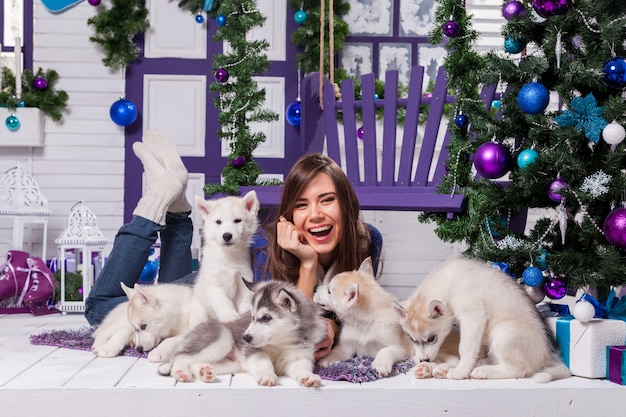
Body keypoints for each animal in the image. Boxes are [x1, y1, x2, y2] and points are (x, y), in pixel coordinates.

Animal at [157, 280, 326, 386]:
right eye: (252, 317)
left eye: (266, 318)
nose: (245, 337)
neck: (281, 342)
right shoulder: (253, 351)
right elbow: (264, 362)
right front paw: (267, 375)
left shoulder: (299, 356)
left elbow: (301, 367)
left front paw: (308, 376)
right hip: (223, 338)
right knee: (181, 356)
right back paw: (181, 372)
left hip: (232, 365)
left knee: (194, 362)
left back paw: (203, 372)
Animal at [190, 189, 258, 324]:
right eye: (218, 222)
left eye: (237, 220)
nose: (227, 236)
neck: (228, 256)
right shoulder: (215, 283)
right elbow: (223, 302)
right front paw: (230, 316)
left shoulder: (244, 277)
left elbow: (245, 300)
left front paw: (244, 313)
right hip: (199, 310)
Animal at [394, 258, 572, 382]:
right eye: (411, 339)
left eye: (432, 338)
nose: (423, 360)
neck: (449, 283)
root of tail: (548, 354)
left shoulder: (473, 317)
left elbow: (465, 348)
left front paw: (460, 372)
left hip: (503, 333)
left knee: (519, 368)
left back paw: (482, 371)